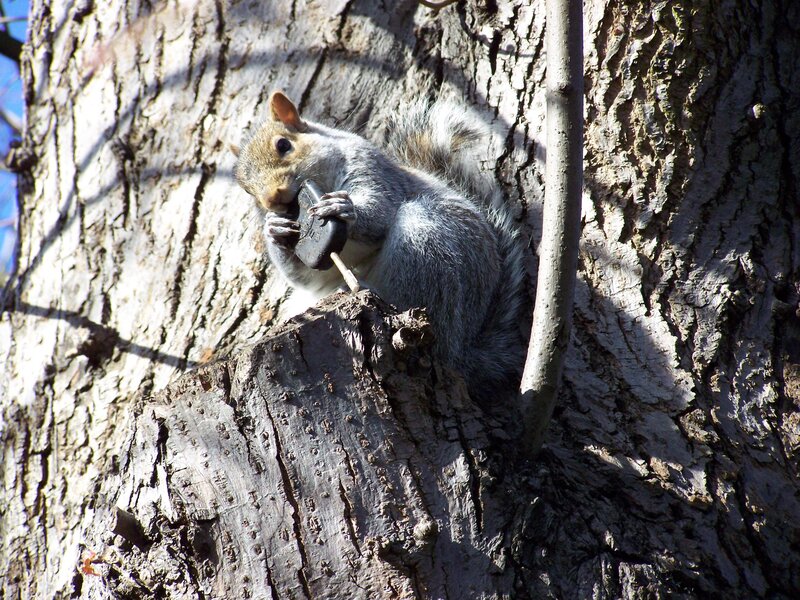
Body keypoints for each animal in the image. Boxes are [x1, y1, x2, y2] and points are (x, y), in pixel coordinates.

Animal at [234, 92, 526, 401]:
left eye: (283, 144)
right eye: (247, 189)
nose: (272, 200)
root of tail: (461, 352)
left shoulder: (372, 169)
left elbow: (379, 211)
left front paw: (343, 207)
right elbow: (308, 275)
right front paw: (274, 230)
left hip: (427, 247)